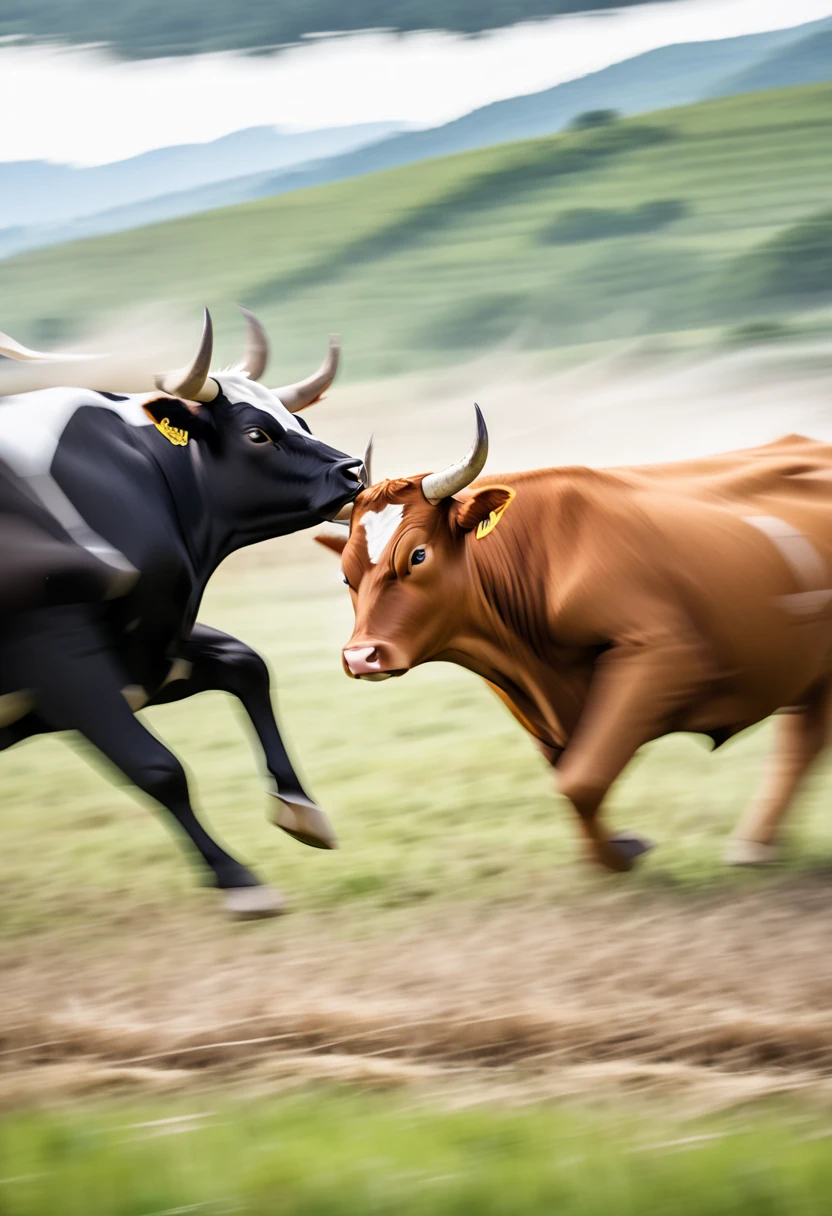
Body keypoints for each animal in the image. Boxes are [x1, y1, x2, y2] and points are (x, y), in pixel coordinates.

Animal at [0, 311, 364, 914]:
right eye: (257, 433)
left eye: (300, 418)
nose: (355, 470)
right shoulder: (63, 662)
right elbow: (159, 769)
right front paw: (238, 879)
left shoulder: (149, 651)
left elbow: (247, 666)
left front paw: (298, 807)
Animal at [316, 411, 832, 875]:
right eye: (345, 574)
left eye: (418, 555)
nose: (361, 656)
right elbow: (571, 774)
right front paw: (614, 847)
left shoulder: (667, 654)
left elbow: (580, 780)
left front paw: (621, 854)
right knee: (803, 739)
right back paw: (757, 843)